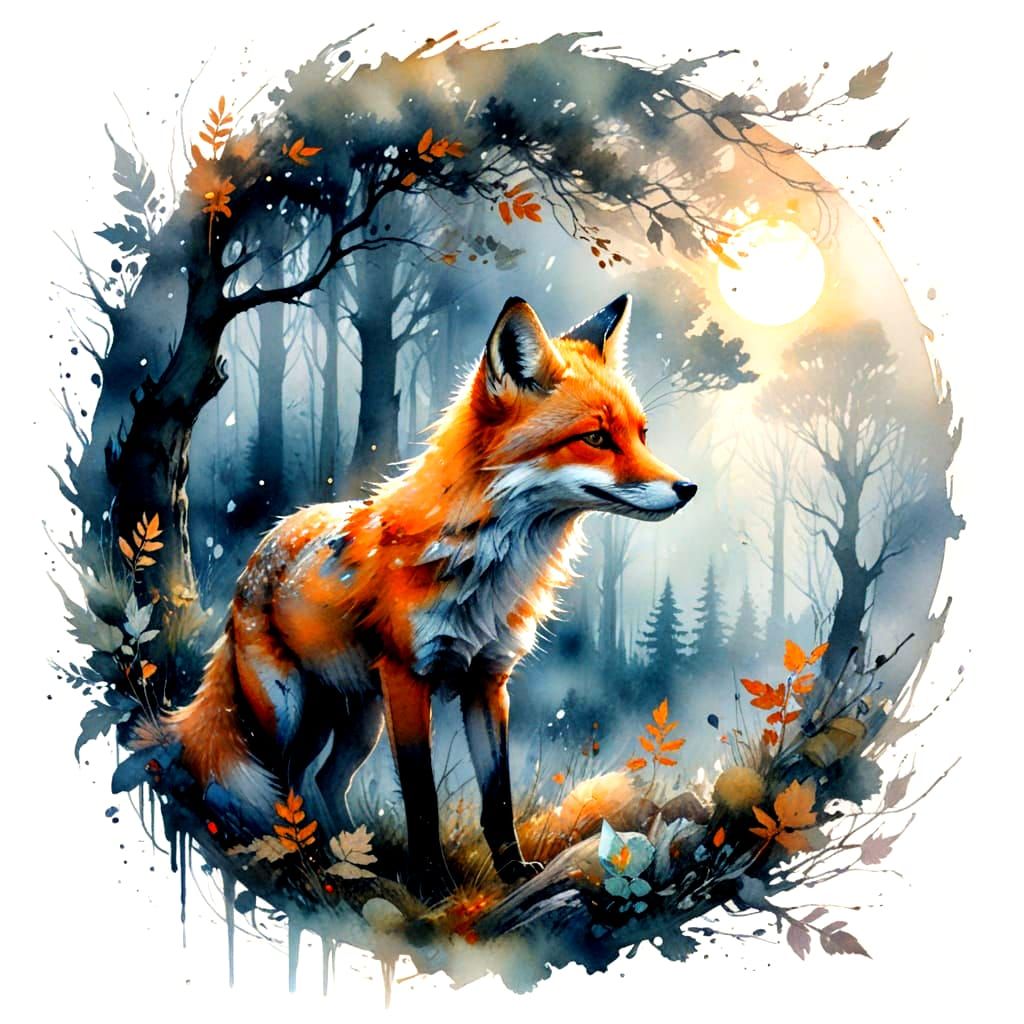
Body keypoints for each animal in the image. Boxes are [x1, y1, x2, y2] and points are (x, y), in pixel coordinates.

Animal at [169, 294, 697, 897]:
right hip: (287, 712)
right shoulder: (408, 679)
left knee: (320, 779)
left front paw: (513, 874)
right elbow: (422, 800)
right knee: (283, 781)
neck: (484, 567)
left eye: (642, 434)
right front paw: (434, 885)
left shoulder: (489, 680)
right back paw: (305, 861)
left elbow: (498, 798)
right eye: (596, 438)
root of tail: (260, 552)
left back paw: (349, 859)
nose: (687, 489)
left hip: (356, 721)